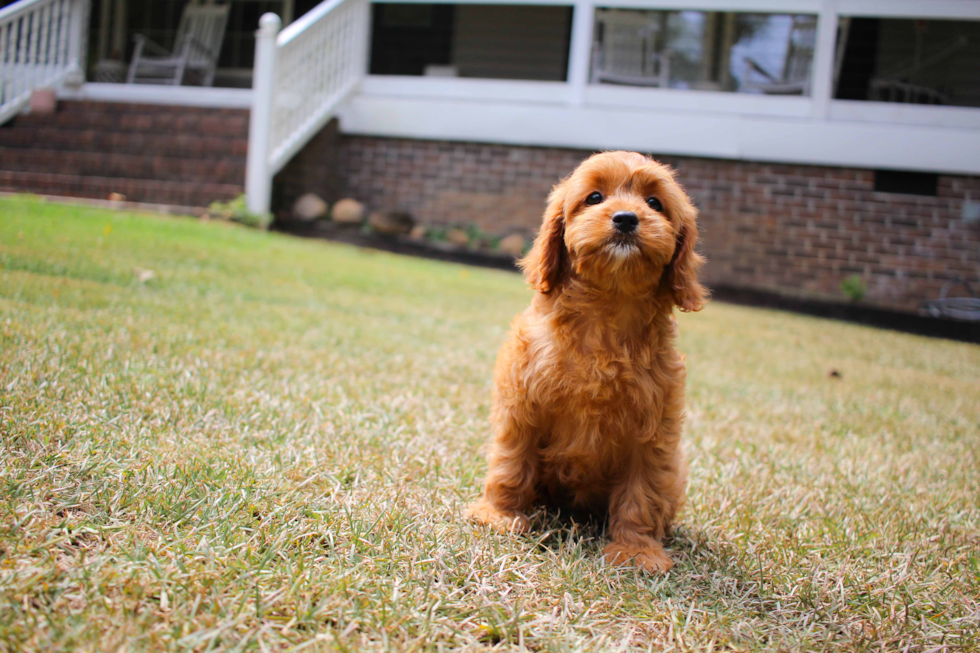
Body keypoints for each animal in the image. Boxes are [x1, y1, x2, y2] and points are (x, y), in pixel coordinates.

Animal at [468, 149, 704, 572]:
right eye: (594, 197)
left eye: (654, 203)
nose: (626, 218)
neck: (606, 312)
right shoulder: (521, 403)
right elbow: (511, 460)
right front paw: (498, 515)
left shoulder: (654, 429)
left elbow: (643, 490)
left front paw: (637, 550)